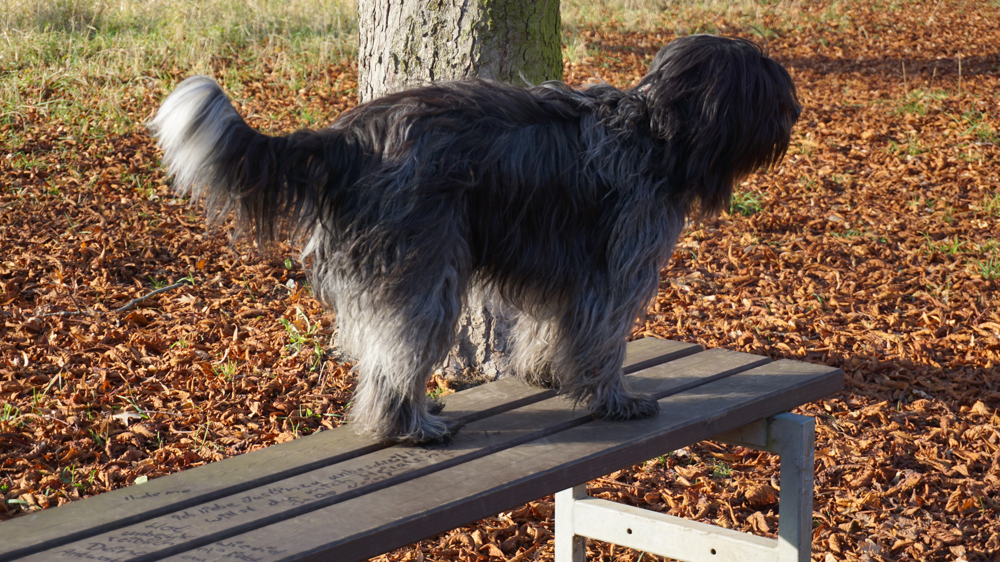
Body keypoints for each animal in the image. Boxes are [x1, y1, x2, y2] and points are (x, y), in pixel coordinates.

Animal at [152, 35, 800, 442]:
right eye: (768, 87)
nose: (795, 112)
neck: (656, 130)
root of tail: (350, 137)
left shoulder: (563, 266)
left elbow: (547, 329)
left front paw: (546, 374)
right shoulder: (614, 269)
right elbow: (603, 340)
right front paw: (615, 400)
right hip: (427, 267)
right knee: (400, 351)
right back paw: (411, 428)